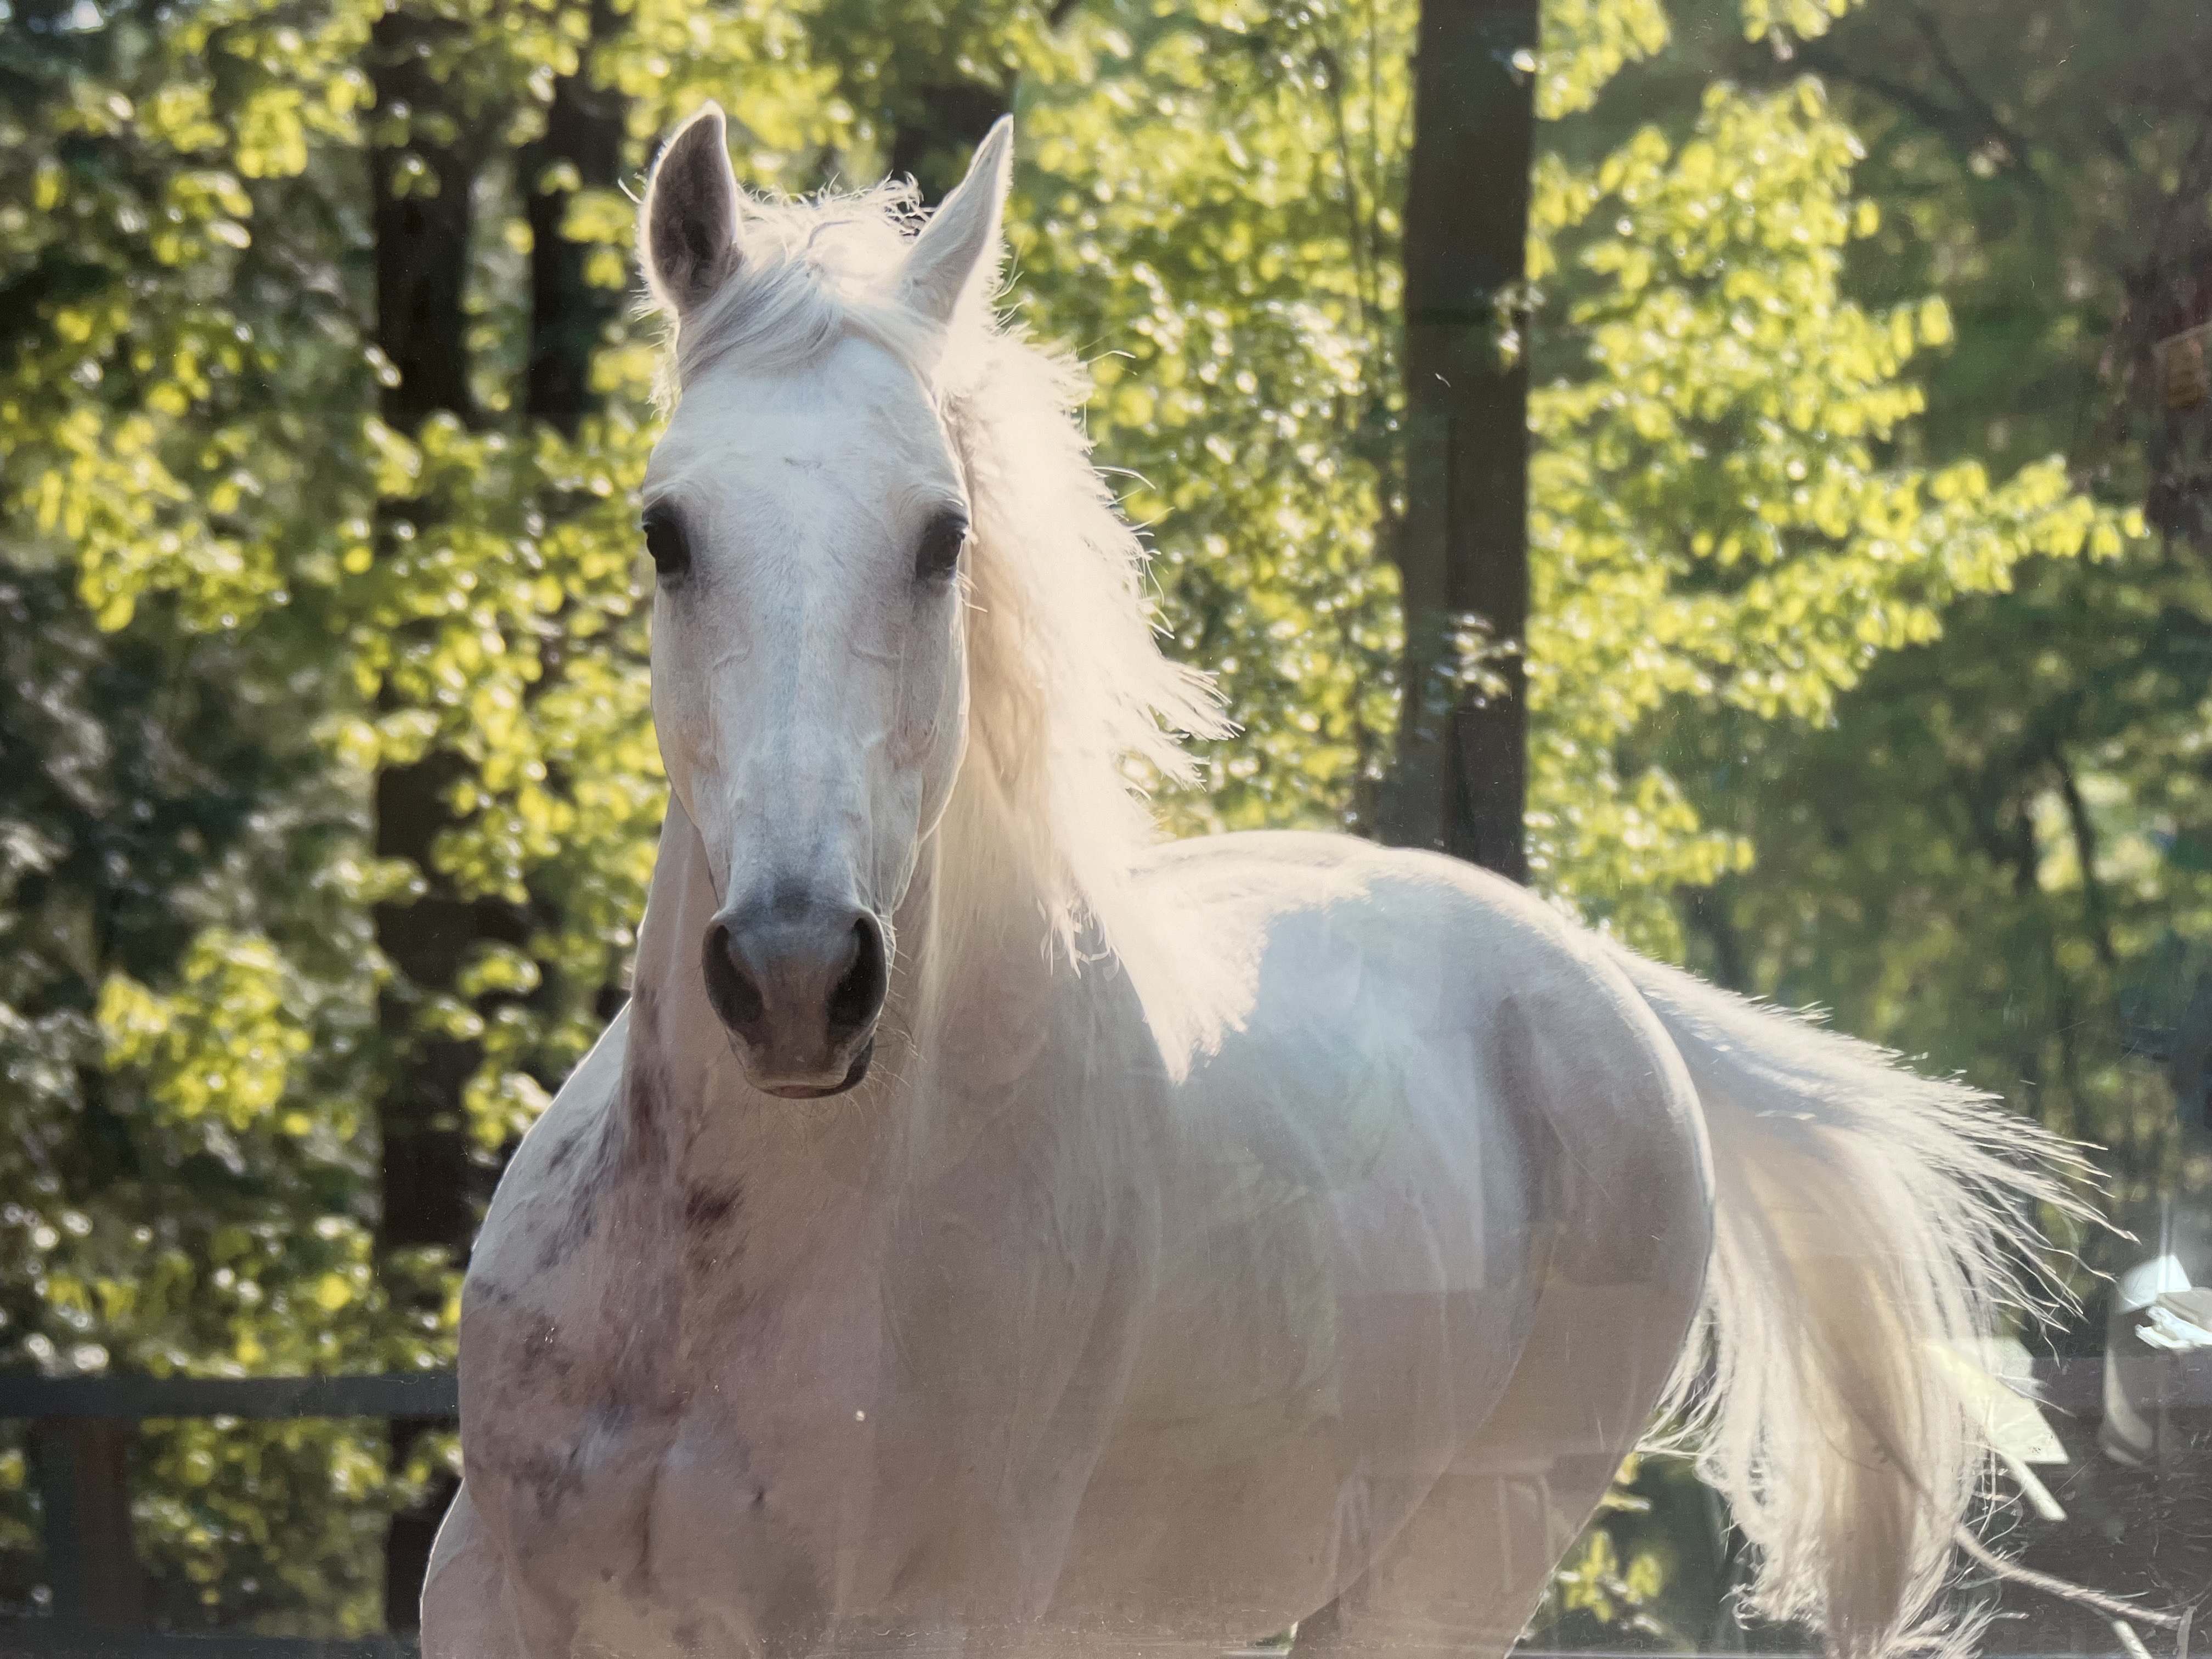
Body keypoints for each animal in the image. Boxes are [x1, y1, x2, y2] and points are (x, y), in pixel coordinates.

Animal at [421, 107, 2085, 1659]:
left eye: (941, 538)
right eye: (667, 531)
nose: (794, 975)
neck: (721, 1276)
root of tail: (1600, 988)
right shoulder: (494, 1596)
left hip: (1447, 1573)